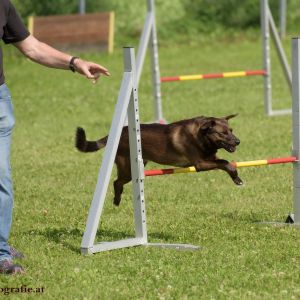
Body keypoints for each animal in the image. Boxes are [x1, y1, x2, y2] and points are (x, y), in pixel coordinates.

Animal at [75, 115, 241, 206]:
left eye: (231, 131)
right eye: (223, 133)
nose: (238, 141)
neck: (200, 134)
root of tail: (118, 133)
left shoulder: (210, 158)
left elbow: (224, 162)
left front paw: (236, 177)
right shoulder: (200, 164)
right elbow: (225, 163)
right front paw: (237, 178)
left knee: (118, 182)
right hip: (128, 168)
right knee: (116, 182)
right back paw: (116, 199)